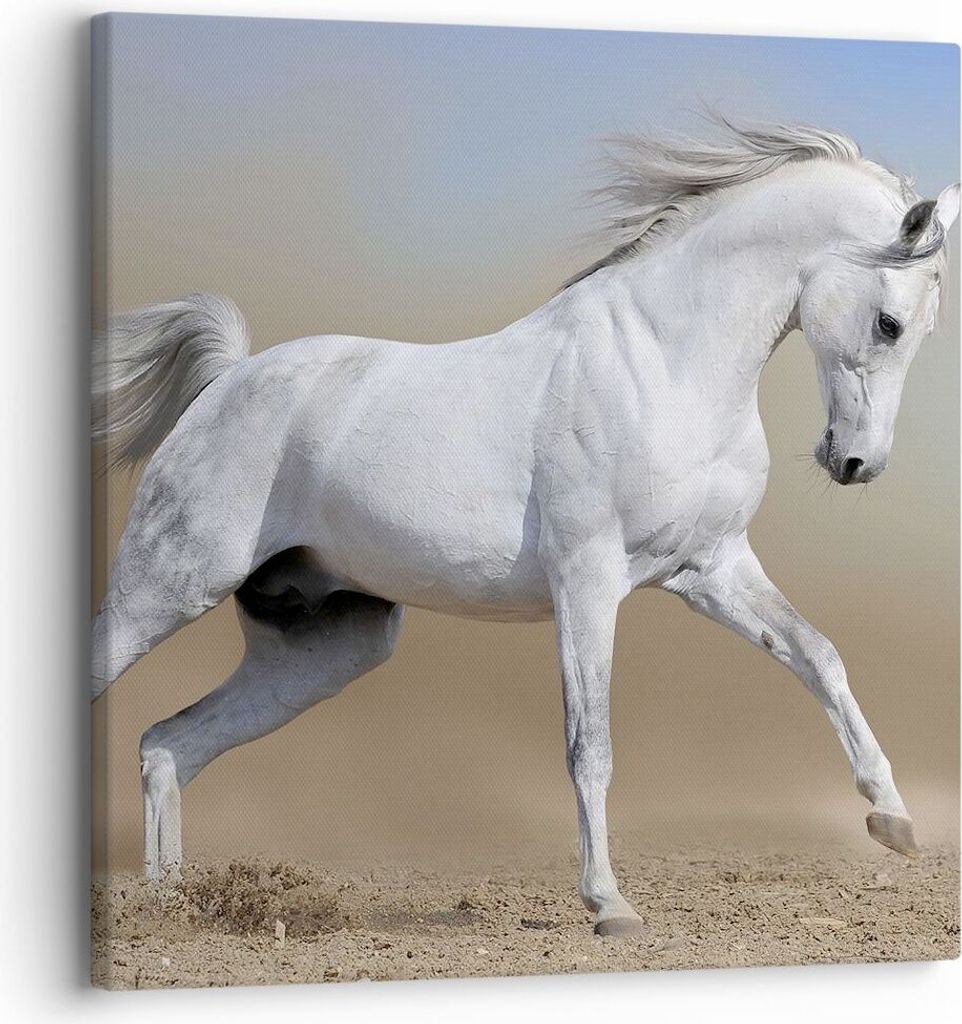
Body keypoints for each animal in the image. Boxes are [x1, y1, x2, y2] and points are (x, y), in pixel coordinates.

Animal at [91, 118, 959, 938]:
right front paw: (609, 906)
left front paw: (893, 820)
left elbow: (818, 656)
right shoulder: (587, 582)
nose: (856, 462)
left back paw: (174, 906)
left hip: (327, 646)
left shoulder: (711, 570)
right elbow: (590, 744)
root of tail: (228, 379)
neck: (664, 364)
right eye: (889, 323)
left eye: (924, 329)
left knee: (168, 745)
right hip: (164, 589)